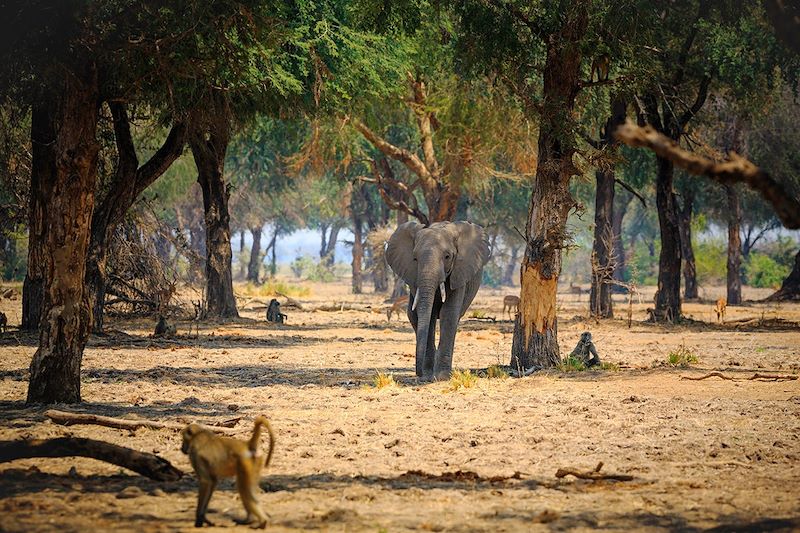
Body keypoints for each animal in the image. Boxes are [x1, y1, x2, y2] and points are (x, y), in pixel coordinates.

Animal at [386, 222, 490, 380]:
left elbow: (449, 313)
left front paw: (441, 377)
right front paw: (428, 375)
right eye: (415, 259)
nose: (419, 373)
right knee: (413, 316)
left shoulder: (458, 273)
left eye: (447, 256)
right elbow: (427, 315)